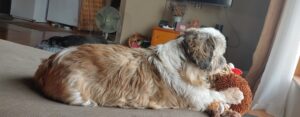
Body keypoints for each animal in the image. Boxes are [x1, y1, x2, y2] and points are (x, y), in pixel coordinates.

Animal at [34, 27, 244, 115]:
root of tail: (51, 61)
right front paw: (235, 93)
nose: (224, 62)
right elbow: (213, 93)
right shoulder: (196, 95)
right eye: (219, 55)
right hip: (76, 90)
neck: (184, 60)